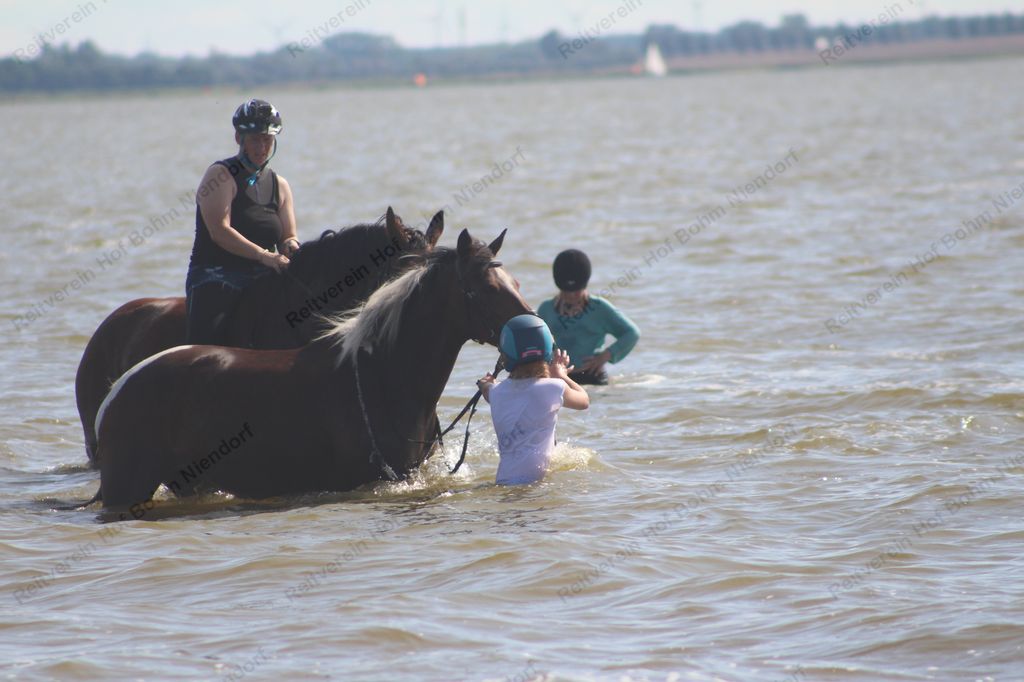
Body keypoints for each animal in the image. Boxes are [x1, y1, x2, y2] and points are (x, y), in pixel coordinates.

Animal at [93, 227, 531, 511]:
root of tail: (116, 392)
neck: (382, 376)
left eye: (515, 282)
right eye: (486, 288)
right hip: (128, 486)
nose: (535, 331)